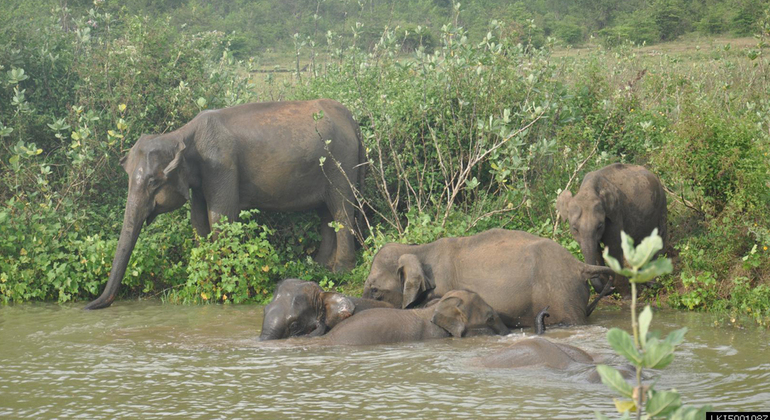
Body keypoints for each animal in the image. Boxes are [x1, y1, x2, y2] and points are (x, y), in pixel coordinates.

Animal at [86, 98, 364, 308]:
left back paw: (340, 271)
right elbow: (198, 221)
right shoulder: (200, 179)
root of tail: (351, 118)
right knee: (326, 213)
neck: (182, 135)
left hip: (341, 160)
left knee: (341, 209)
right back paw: (321, 267)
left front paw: (222, 281)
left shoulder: (221, 165)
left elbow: (221, 217)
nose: (89, 305)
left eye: (153, 182)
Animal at [552, 162, 664, 296]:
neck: (589, 189)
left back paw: (652, 283)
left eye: (600, 226)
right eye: (575, 228)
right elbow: (596, 251)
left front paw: (626, 296)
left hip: (661, 203)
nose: (610, 289)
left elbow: (613, 248)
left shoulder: (615, 214)